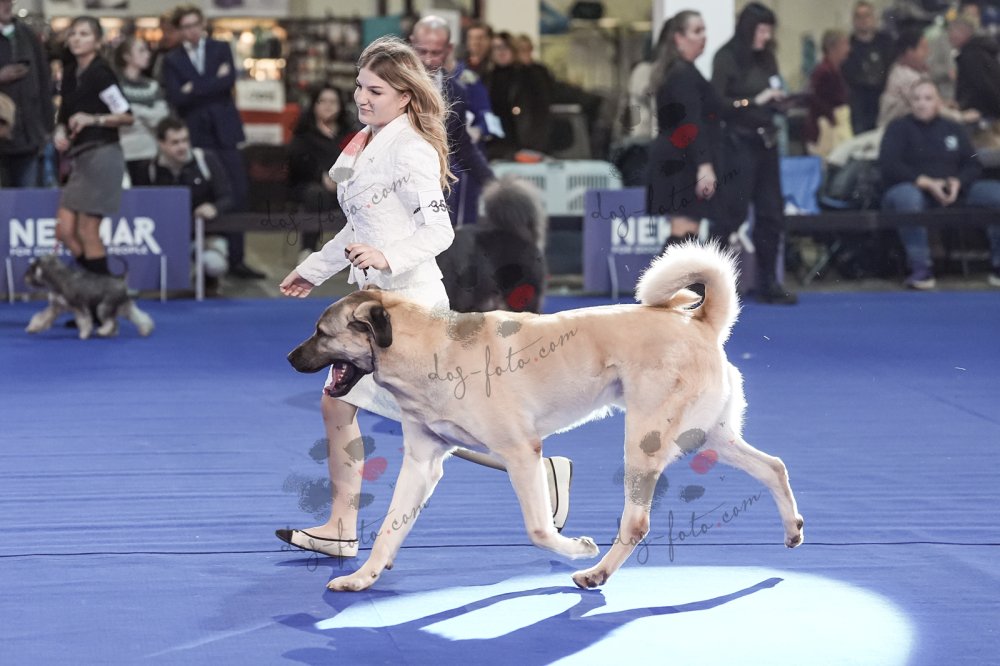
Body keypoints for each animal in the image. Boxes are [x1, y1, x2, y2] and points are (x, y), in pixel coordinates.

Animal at [25, 255, 154, 340]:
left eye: (32, 268)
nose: (25, 277)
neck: (59, 278)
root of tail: (120, 279)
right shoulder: (55, 307)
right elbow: (42, 317)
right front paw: (32, 328)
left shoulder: (79, 306)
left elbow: (84, 320)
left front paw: (84, 334)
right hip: (125, 306)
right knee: (138, 317)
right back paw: (145, 330)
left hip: (103, 307)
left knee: (111, 321)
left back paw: (103, 331)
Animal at [287, 242, 803, 592]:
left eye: (321, 332)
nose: (290, 357)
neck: (430, 349)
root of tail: (698, 322)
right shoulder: (423, 462)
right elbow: (390, 528)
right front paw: (364, 576)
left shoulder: (520, 453)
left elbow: (539, 529)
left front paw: (574, 546)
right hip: (708, 436)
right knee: (774, 466)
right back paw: (792, 529)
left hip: (646, 443)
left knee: (636, 524)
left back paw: (595, 572)